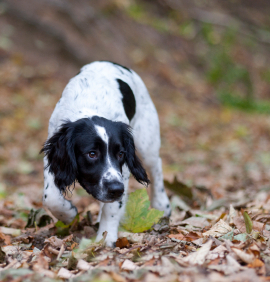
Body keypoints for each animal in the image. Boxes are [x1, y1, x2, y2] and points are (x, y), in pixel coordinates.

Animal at [40, 60, 170, 246]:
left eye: (121, 154)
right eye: (92, 154)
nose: (116, 190)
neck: (89, 106)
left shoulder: (122, 172)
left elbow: (112, 207)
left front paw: (106, 237)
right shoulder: (53, 156)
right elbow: (51, 197)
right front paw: (69, 215)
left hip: (147, 141)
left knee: (156, 166)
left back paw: (161, 205)